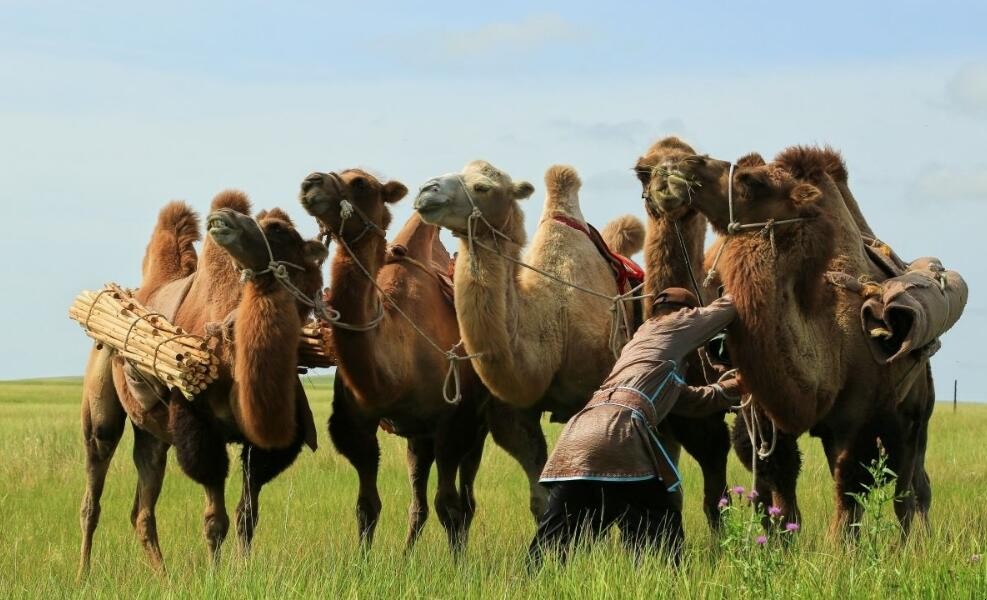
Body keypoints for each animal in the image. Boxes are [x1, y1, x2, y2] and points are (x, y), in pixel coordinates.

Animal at [78, 190, 324, 576]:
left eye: (280, 230)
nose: (222, 220)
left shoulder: (263, 443)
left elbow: (247, 515)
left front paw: (242, 572)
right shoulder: (200, 428)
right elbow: (214, 519)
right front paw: (214, 575)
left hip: (152, 434)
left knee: (142, 508)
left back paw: (163, 578)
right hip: (100, 398)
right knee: (93, 488)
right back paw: (83, 574)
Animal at [298, 170, 552, 552]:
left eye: (360, 182)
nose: (311, 182)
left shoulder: (453, 421)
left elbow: (449, 504)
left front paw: (458, 562)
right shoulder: (358, 423)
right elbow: (367, 504)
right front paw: (364, 560)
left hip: (471, 426)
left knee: (465, 497)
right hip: (418, 435)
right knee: (418, 498)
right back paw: (407, 554)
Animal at [652, 149, 936, 536]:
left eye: (751, 181)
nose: (683, 164)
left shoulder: (860, 420)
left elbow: (848, 493)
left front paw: (836, 551)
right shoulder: (767, 417)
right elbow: (782, 487)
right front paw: (780, 542)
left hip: (917, 413)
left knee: (909, 490)